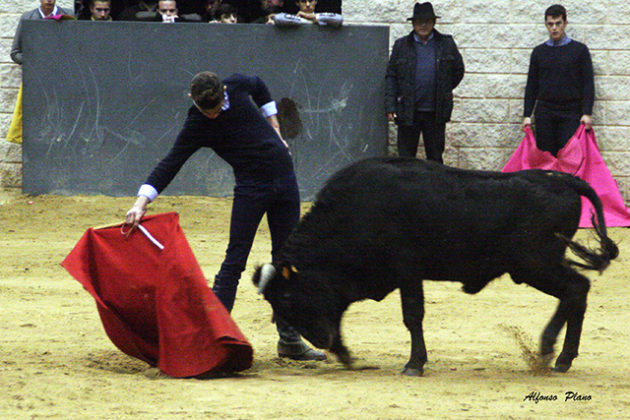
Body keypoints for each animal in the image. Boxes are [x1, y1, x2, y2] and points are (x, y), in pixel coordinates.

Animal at [254, 158, 620, 374]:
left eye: (287, 297)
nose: (320, 341)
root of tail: (563, 180)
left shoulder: (407, 269)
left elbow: (412, 314)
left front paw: (414, 363)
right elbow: (340, 314)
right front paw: (345, 354)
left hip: (533, 263)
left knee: (575, 288)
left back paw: (549, 351)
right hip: (537, 264)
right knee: (578, 291)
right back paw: (563, 358)